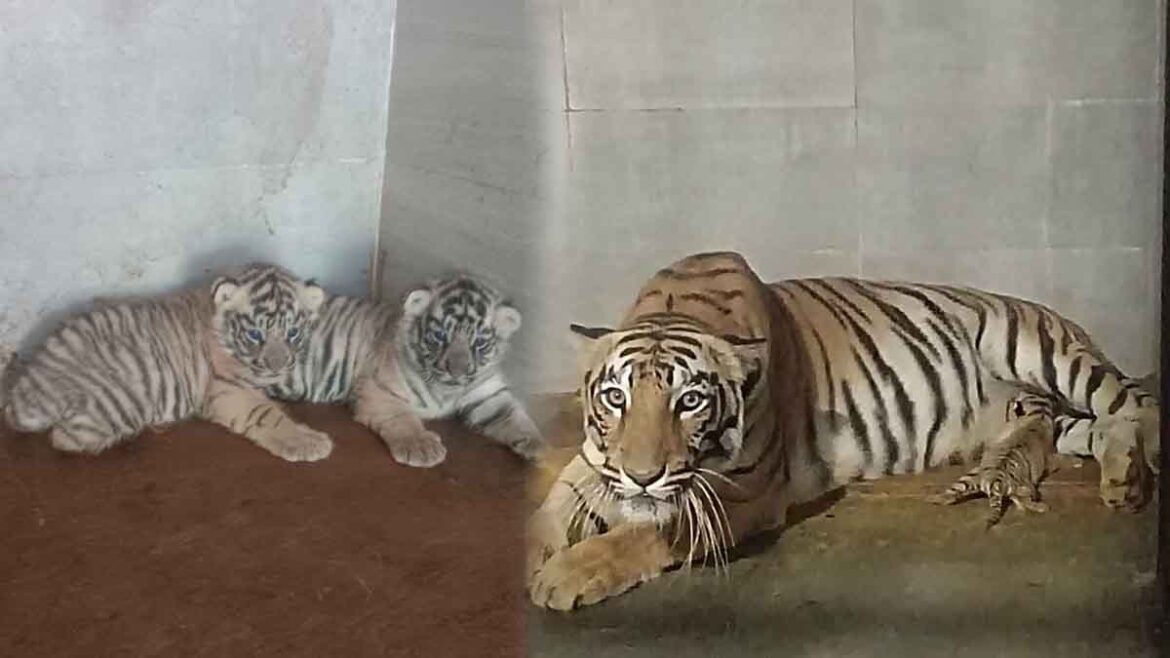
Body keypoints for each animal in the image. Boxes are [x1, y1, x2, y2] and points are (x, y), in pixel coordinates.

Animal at [1, 263, 334, 462]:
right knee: (64, 438)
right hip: (126, 401)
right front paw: (308, 442)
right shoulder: (227, 391)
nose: (278, 365)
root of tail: (33, 383)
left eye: (292, 332)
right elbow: (266, 415)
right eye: (255, 334)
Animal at [266, 272, 544, 467]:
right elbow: (403, 418)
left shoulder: (491, 395)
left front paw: (537, 445)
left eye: (480, 342)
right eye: (440, 335)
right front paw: (421, 447)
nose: (456, 371)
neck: (447, 391)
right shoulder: (381, 390)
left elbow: (514, 416)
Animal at [526, 251, 1159, 610]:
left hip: (1046, 352)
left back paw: (1138, 475)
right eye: (616, 398)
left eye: (690, 402)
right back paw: (1123, 479)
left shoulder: (748, 495)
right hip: (1048, 413)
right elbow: (555, 504)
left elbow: (644, 533)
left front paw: (564, 576)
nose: (643, 477)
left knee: (1139, 404)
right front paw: (537, 552)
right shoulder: (597, 459)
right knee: (1095, 426)